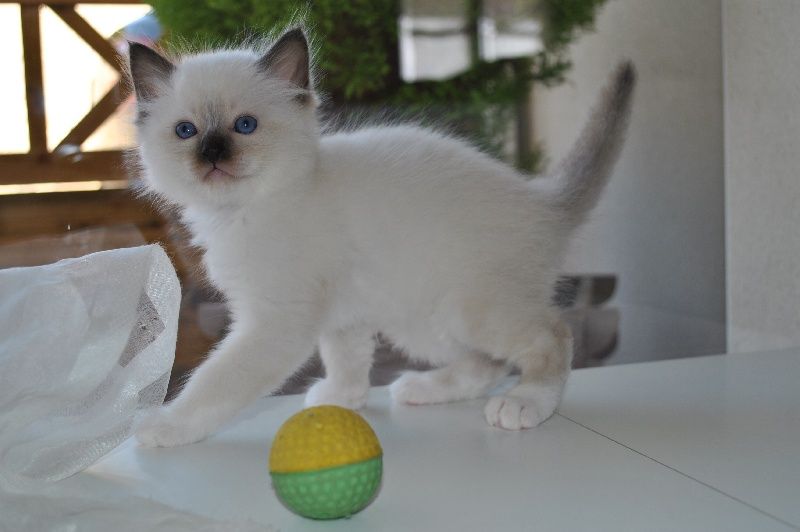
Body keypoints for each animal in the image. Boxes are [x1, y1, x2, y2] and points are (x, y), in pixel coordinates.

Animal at [128, 28, 636, 444]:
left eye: (245, 126)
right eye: (186, 131)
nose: (212, 153)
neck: (244, 212)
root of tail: (539, 197)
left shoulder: (275, 321)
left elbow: (215, 382)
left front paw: (165, 426)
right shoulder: (343, 315)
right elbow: (347, 361)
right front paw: (342, 399)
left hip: (469, 309)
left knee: (553, 335)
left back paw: (525, 402)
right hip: (421, 321)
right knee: (488, 362)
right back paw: (422, 388)